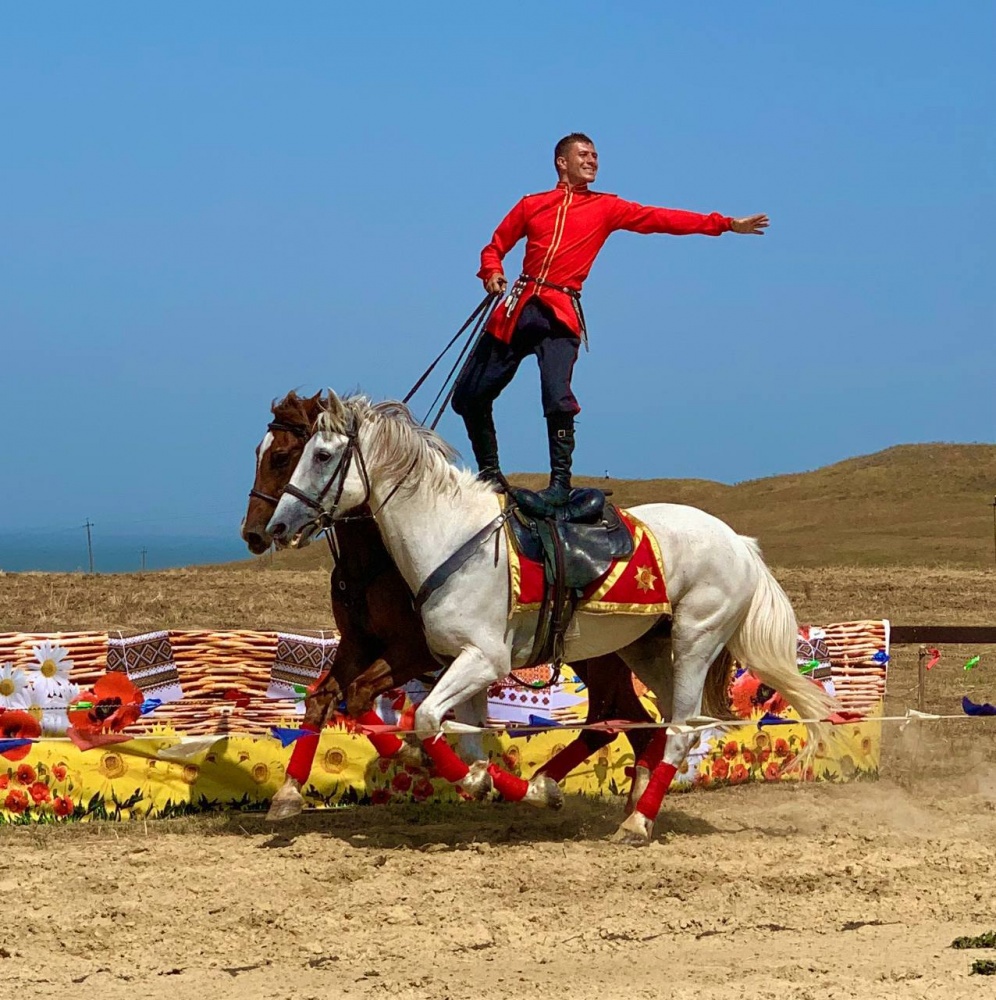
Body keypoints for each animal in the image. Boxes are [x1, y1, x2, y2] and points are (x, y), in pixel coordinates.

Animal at [268, 394, 836, 848]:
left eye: (319, 455)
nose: (276, 526)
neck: (454, 539)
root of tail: (739, 543)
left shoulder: (482, 659)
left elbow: (427, 718)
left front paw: (471, 775)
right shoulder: (457, 661)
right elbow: (464, 733)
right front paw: (492, 782)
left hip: (696, 640)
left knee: (676, 730)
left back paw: (634, 824)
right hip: (647, 649)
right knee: (650, 724)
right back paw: (624, 807)